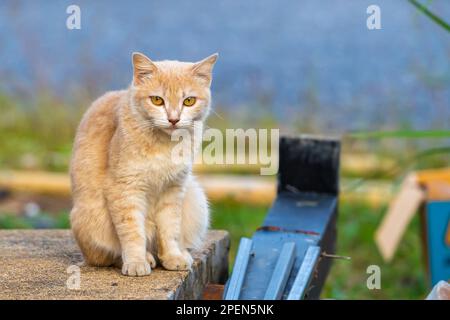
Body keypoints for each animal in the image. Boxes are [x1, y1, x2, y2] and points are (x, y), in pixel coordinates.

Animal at [70, 52, 218, 276]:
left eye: (189, 101)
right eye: (157, 100)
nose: (173, 119)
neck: (166, 145)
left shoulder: (173, 189)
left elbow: (170, 229)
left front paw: (173, 256)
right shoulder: (125, 190)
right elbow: (132, 232)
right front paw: (136, 261)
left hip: (195, 198)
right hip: (93, 222)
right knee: (106, 255)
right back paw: (144, 257)